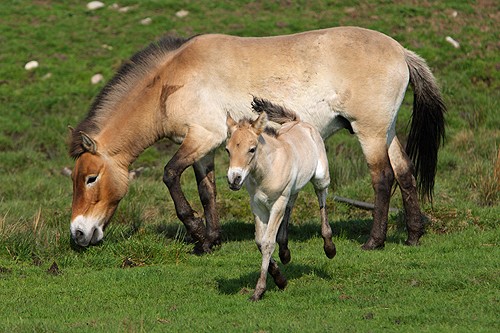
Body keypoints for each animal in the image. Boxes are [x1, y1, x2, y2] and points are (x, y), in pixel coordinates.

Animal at [67, 27, 446, 253]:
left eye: (91, 178)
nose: (78, 234)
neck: (172, 80)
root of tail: (401, 51)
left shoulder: (201, 137)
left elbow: (170, 176)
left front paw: (197, 233)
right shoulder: (205, 148)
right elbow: (207, 191)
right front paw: (210, 240)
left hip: (369, 132)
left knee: (383, 178)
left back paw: (374, 241)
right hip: (386, 130)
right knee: (405, 173)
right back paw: (413, 235)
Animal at [227, 96, 336, 300]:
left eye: (252, 149)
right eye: (227, 150)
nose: (234, 179)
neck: (268, 170)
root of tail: (299, 121)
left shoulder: (277, 203)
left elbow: (268, 242)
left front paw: (259, 290)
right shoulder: (257, 206)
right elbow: (259, 241)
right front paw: (280, 279)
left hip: (321, 178)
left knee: (321, 199)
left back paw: (329, 247)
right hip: (292, 189)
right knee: (291, 205)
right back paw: (285, 252)